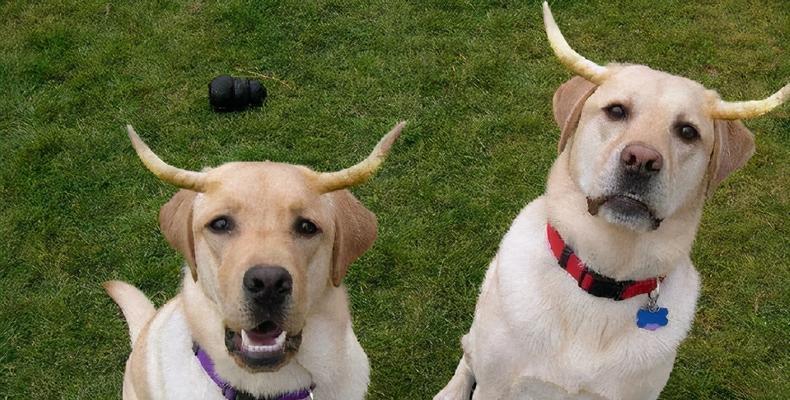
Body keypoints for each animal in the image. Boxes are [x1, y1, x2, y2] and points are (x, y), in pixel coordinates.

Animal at [436, 3, 788, 400]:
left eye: (687, 132)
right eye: (616, 111)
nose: (641, 160)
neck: (602, 280)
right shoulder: (497, 386)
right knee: (468, 351)